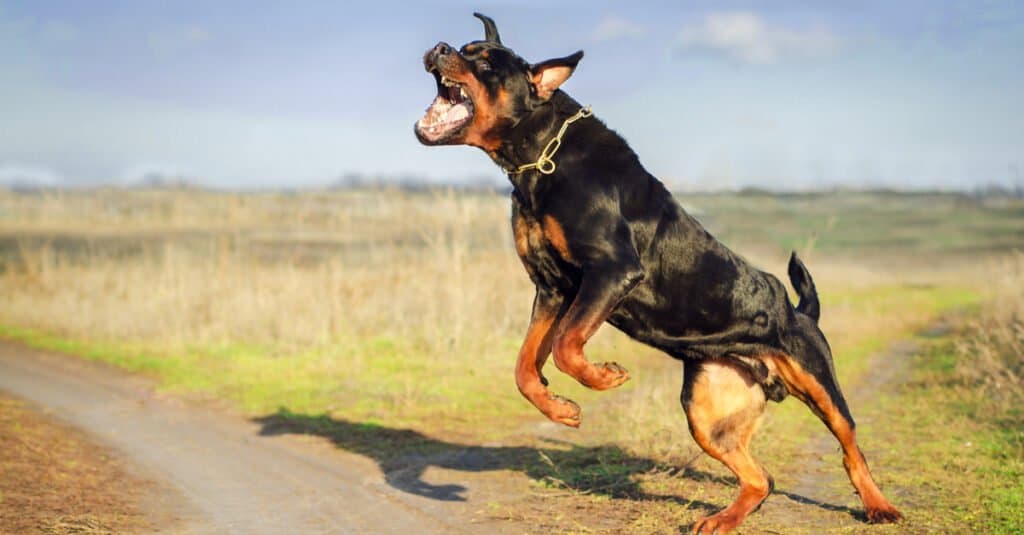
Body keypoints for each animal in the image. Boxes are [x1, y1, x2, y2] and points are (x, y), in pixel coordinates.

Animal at [411, 14, 901, 528]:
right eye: (463, 47)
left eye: (485, 61)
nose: (439, 47)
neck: (541, 157)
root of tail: (800, 313)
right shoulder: (551, 288)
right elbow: (526, 367)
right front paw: (562, 410)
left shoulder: (612, 271)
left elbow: (565, 346)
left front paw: (604, 377)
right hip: (707, 412)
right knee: (760, 479)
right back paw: (720, 521)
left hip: (817, 378)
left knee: (850, 447)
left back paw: (879, 506)